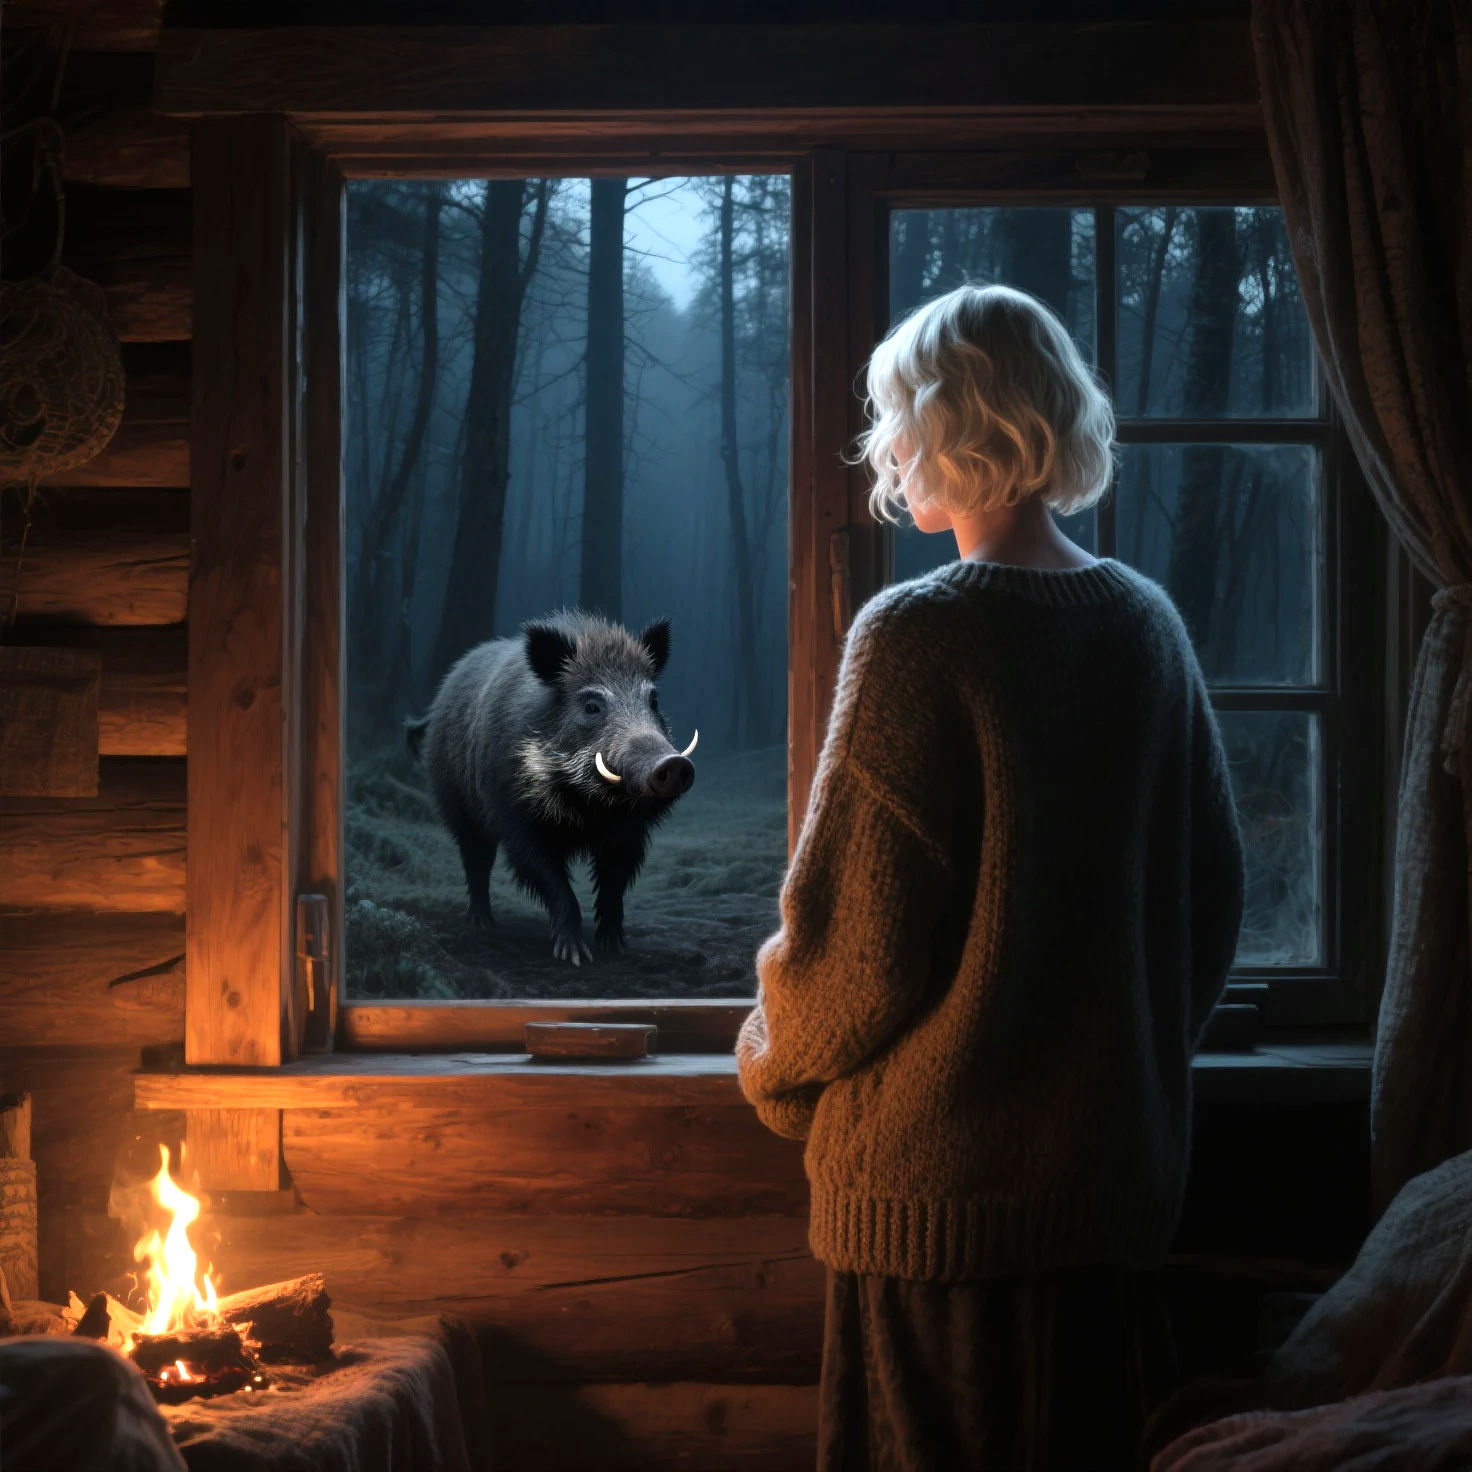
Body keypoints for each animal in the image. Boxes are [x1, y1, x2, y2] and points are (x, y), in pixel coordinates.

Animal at [406, 609, 697, 965]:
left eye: (653, 700)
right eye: (591, 706)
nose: (674, 763)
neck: (592, 807)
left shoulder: (630, 834)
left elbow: (613, 886)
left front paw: (614, 946)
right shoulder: (516, 821)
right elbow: (553, 883)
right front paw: (575, 956)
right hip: (456, 804)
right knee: (476, 860)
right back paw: (481, 922)